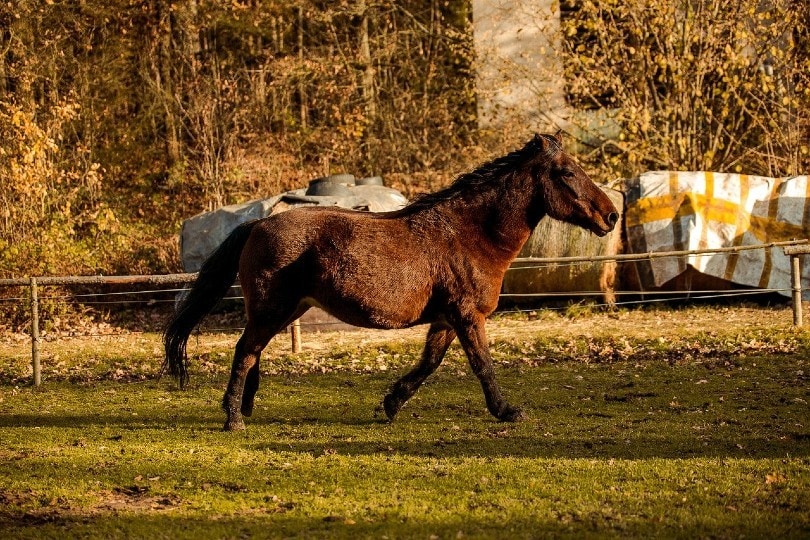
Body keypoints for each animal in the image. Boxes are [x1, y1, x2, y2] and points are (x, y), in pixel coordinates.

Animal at [164, 132, 619, 431]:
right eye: (566, 173)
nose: (611, 216)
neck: (470, 235)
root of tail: (257, 223)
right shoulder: (468, 316)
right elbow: (482, 365)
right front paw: (507, 411)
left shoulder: (447, 319)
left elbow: (429, 363)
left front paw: (390, 403)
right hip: (271, 309)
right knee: (244, 352)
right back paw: (233, 418)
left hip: (284, 310)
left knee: (253, 352)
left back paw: (246, 409)